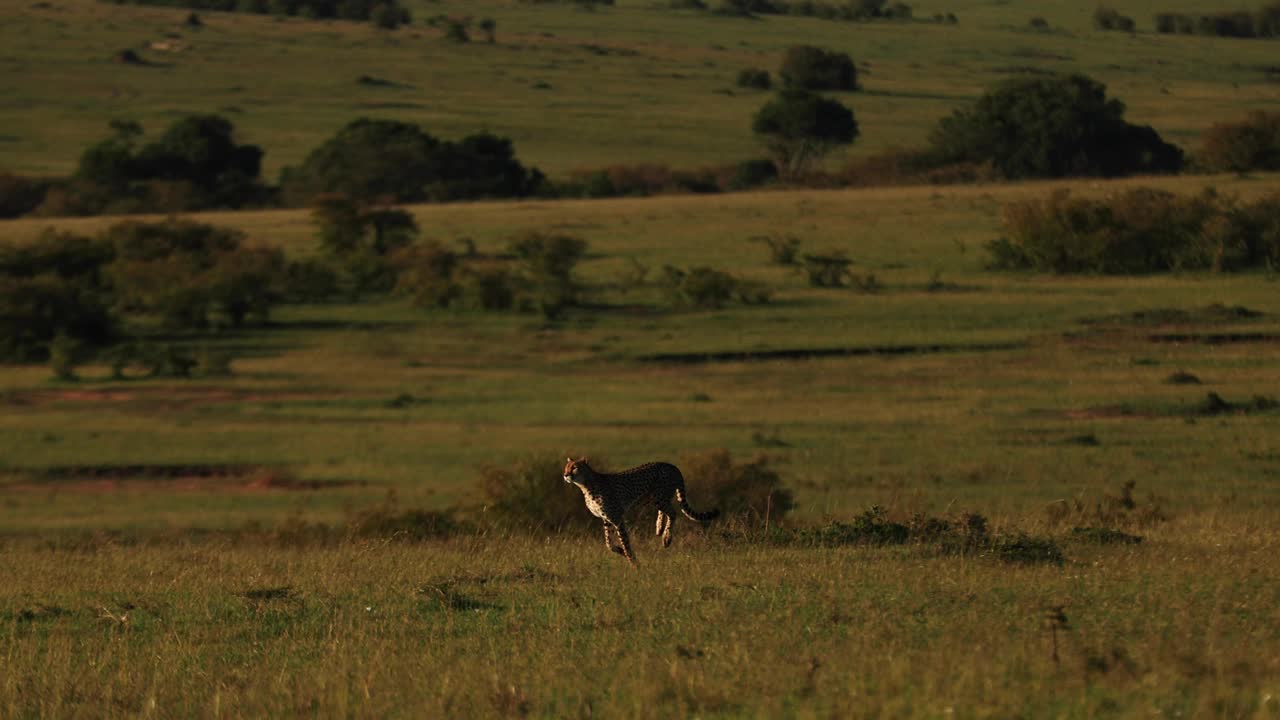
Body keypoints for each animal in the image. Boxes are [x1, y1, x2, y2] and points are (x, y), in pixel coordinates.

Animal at [563, 456, 716, 563]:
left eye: (574, 467)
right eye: (566, 467)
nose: (565, 475)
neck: (585, 484)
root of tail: (671, 465)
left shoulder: (617, 518)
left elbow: (625, 543)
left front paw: (634, 564)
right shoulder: (606, 519)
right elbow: (608, 543)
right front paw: (620, 551)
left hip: (659, 496)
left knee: (672, 513)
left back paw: (666, 538)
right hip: (654, 498)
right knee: (665, 511)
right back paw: (659, 528)